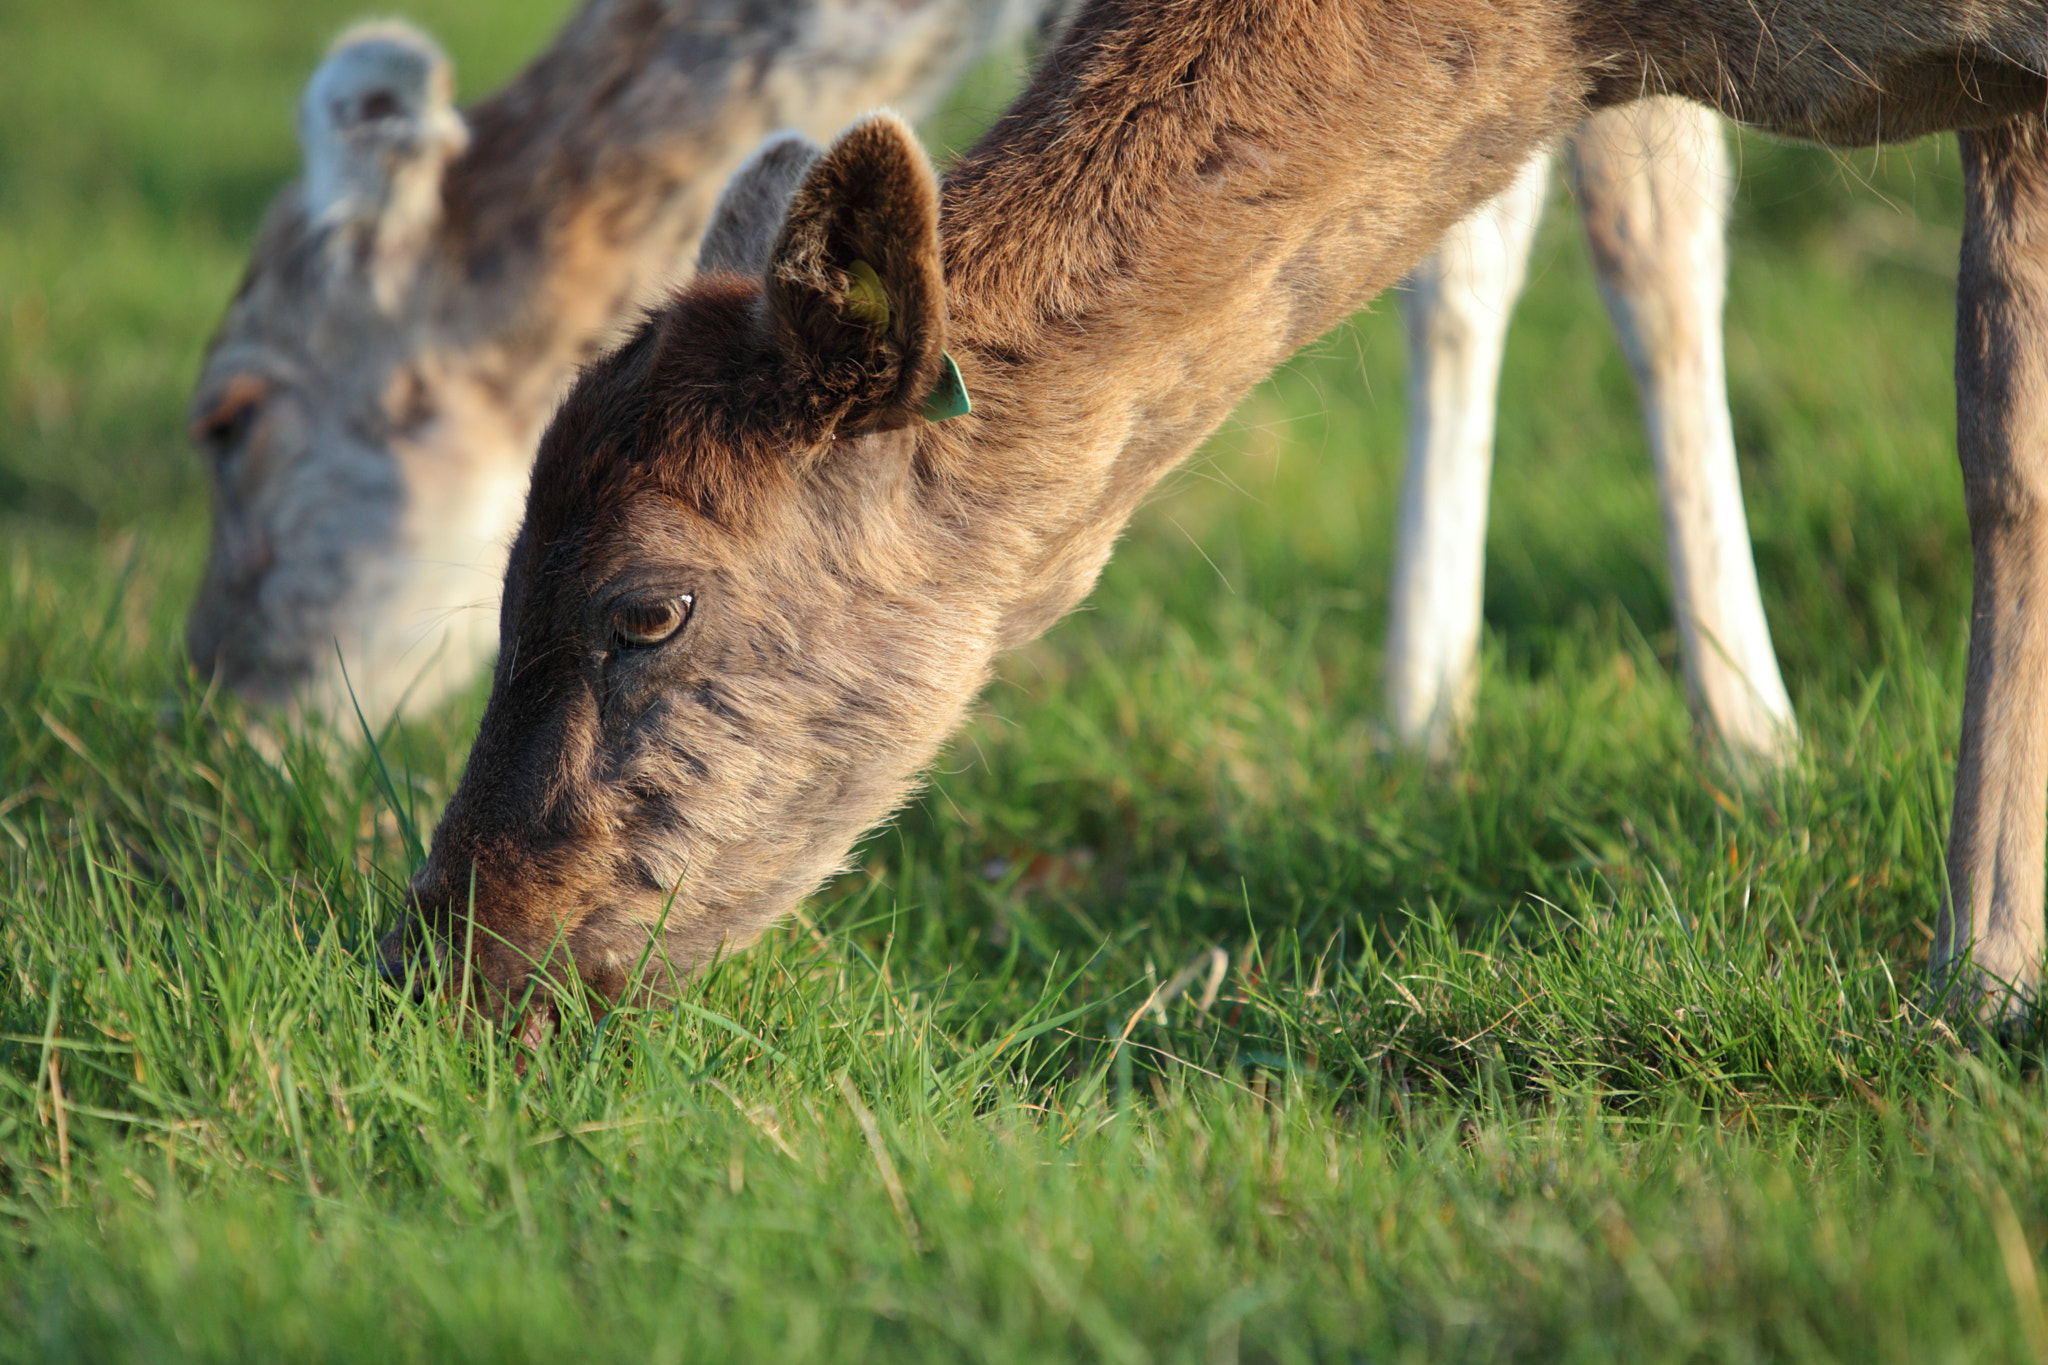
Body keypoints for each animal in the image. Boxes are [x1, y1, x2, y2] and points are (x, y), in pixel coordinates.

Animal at [387, 0, 2048, 1023]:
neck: (1613, 31)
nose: (447, 958)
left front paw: (1978, 978)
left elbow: (2002, 451)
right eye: (501, 568)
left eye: (647, 607)